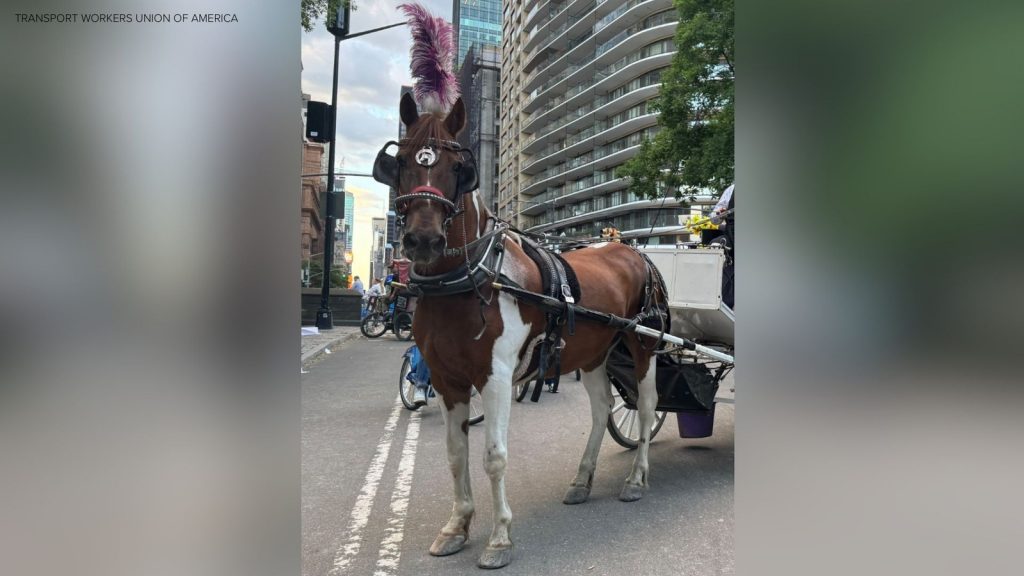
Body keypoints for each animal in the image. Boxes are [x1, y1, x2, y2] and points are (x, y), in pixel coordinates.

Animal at [374, 91, 667, 569]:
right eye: (399, 162)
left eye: (457, 167)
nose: (423, 239)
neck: (472, 276)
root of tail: (632, 250)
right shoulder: (447, 379)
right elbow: (456, 454)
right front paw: (457, 526)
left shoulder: (495, 377)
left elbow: (494, 456)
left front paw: (499, 538)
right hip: (593, 354)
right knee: (603, 409)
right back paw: (582, 479)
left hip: (643, 345)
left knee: (644, 407)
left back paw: (637, 479)